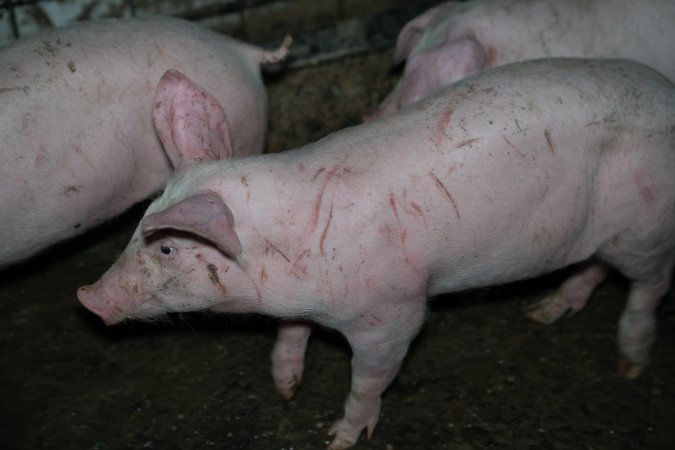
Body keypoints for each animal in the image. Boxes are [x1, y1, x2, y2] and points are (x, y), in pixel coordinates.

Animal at [77, 58, 675, 449]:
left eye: (167, 246)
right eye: (138, 228)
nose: (86, 297)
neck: (288, 257)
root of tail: (667, 91)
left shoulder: (392, 311)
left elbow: (370, 376)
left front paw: (338, 439)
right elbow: (291, 331)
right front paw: (285, 388)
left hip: (642, 227)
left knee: (652, 282)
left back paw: (629, 363)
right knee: (595, 266)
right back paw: (543, 312)